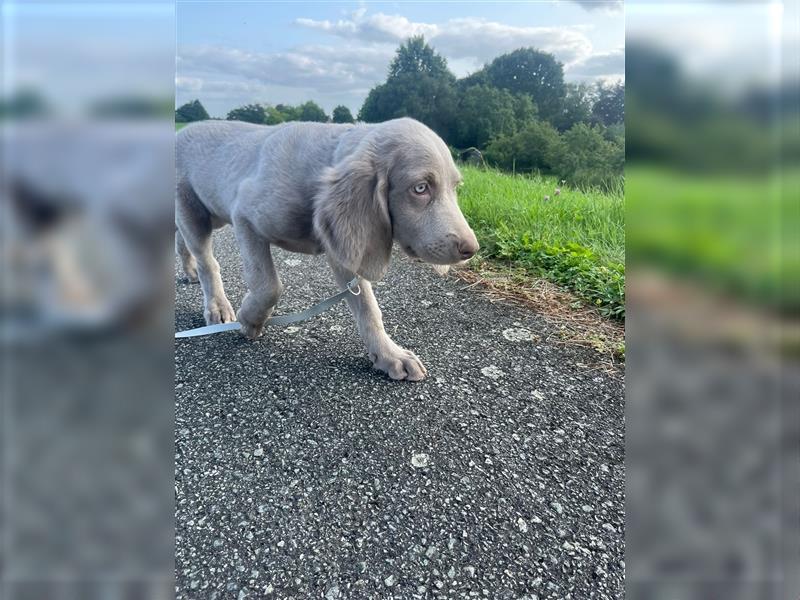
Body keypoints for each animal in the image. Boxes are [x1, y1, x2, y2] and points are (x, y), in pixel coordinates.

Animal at [175, 117, 478, 380]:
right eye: (420, 188)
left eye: (456, 187)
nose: (471, 249)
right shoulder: (245, 215)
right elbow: (268, 284)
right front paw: (250, 320)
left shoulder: (346, 244)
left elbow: (368, 307)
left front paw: (388, 353)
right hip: (194, 211)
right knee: (207, 260)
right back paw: (217, 306)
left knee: (181, 240)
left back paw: (190, 272)